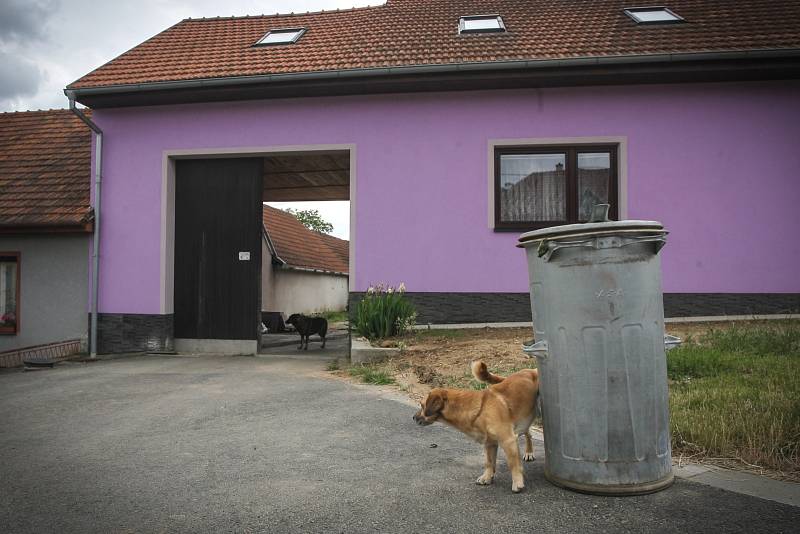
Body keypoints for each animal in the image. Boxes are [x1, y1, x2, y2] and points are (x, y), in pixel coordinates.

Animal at [412, 364, 536, 494]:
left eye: (421, 405)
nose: (413, 417)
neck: (480, 409)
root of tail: (529, 370)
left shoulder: (508, 440)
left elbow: (513, 464)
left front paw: (517, 482)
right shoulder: (490, 442)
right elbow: (489, 462)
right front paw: (487, 477)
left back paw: (529, 453)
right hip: (524, 419)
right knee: (528, 433)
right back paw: (528, 452)